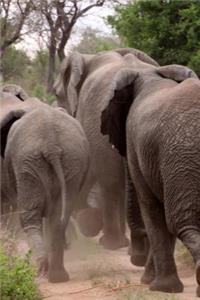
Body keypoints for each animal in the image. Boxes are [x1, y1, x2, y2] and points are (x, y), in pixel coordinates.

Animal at [0, 92, 90, 282]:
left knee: (30, 216)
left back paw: (40, 272)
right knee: (58, 218)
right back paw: (57, 276)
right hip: (72, 160)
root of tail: (51, 144)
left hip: (27, 162)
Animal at [101, 51, 199, 296]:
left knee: (180, 222)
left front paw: (159, 287)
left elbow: (152, 209)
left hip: (179, 158)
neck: (150, 73)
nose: (135, 256)